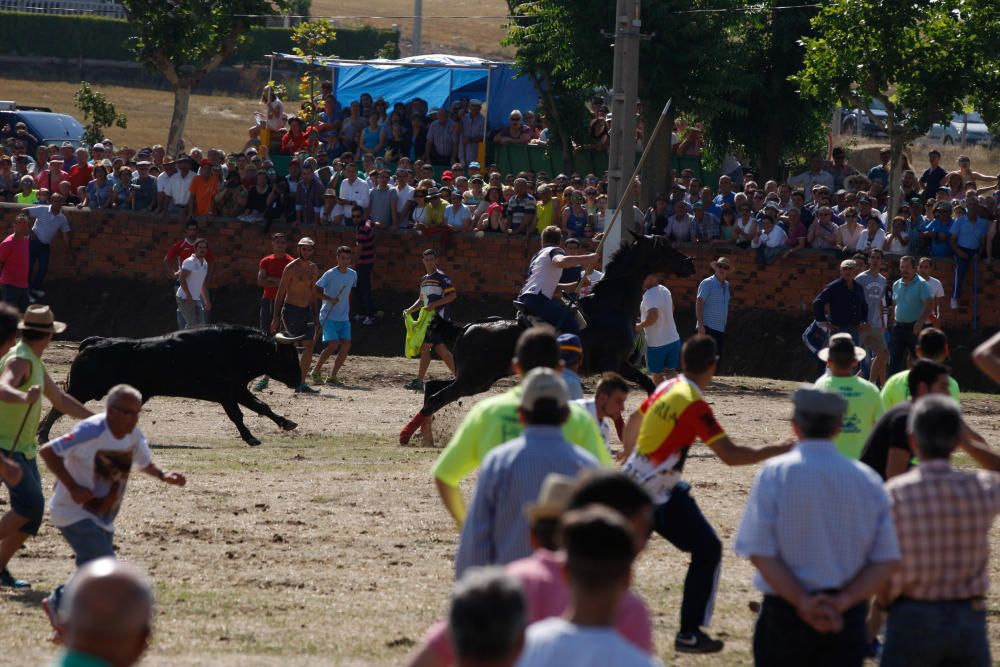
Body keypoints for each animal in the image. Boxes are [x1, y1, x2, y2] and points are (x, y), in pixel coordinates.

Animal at [39, 324, 302, 446]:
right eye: (289, 356)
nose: (299, 380)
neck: (236, 349)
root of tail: (94, 342)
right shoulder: (227, 392)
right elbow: (238, 415)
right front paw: (250, 438)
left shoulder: (237, 390)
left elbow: (261, 406)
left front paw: (287, 423)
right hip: (81, 390)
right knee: (57, 408)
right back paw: (42, 436)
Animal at [398, 235, 696, 444]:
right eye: (665, 245)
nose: (690, 262)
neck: (610, 304)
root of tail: (466, 328)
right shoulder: (616, 363)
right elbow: (646, 385)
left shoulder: (615, 366)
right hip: (475, 380)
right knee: (436, 397)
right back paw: (406, 434)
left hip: (475, 379)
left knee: (432, 389)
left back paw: (424, 435)